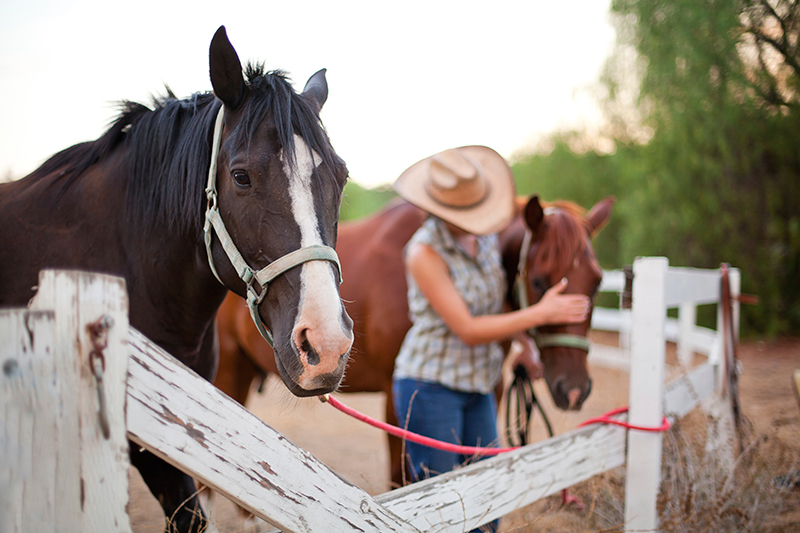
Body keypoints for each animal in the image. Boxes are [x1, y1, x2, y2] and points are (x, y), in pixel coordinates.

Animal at [212, 193, 612, 488]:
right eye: (541, 282)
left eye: (596, 281)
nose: (575, 389)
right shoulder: (398, 397)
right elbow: (402, 479)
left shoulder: (492, 395)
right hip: (229, 368)